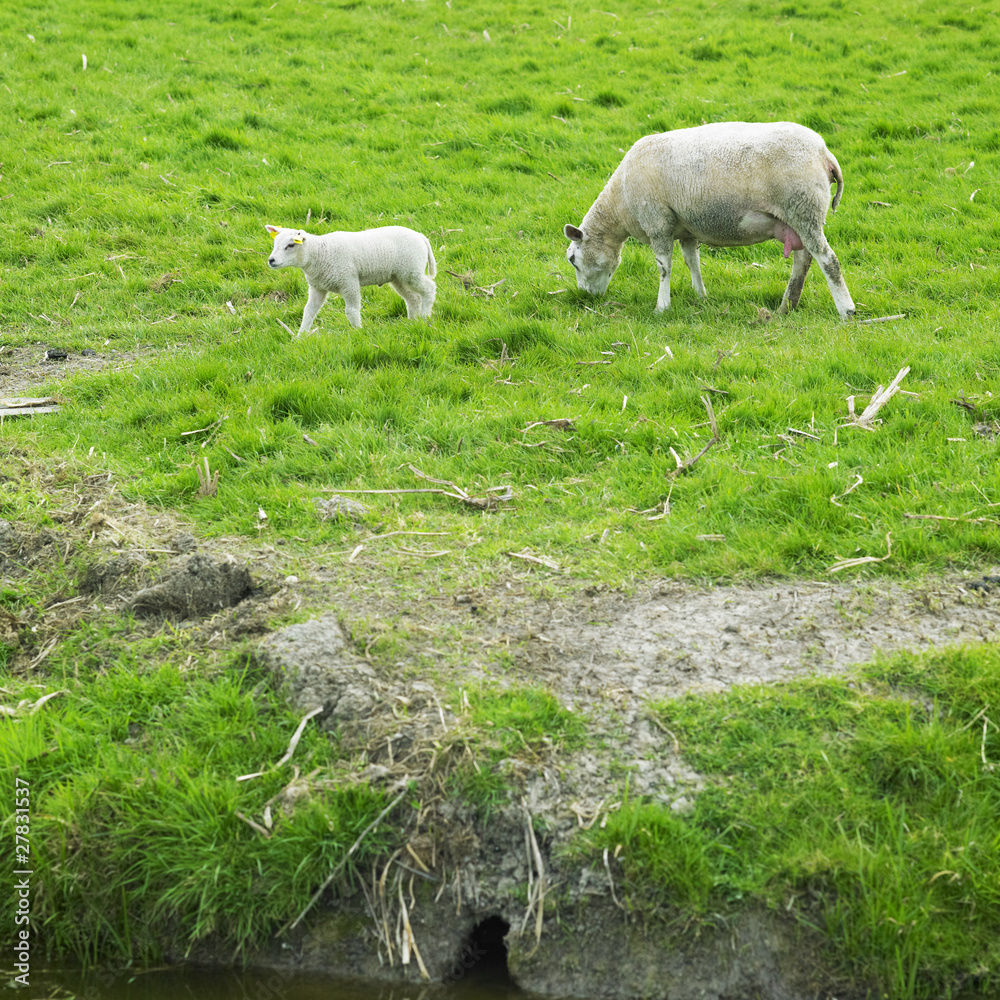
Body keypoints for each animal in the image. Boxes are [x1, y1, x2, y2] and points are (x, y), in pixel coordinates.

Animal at [266, 224, 437, 332]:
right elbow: (309, 311)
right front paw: (300, 337)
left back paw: (425, 317)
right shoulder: (317, 287)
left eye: (291, 245)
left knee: (429, 289)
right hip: (399, 277)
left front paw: (358, 331)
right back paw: (412, 321)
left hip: (411, 271)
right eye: (275, 243)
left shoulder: (349, 281)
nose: (271, 260)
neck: (319, 253)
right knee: (413, 298)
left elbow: (351, 311)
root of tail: (420, 236)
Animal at [563, 121, 856, 320]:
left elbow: (664, 268)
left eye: (573, 260)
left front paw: (662, 307)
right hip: (799, 217)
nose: (586, 297)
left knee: (828, 260)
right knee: (803, 260)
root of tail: (824, 154)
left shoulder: (658, 222)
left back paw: (847, 310)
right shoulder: (686, 229)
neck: (620, 203)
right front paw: (701, 296)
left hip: (803, 209)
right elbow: (692, 262)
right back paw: (787, 306)